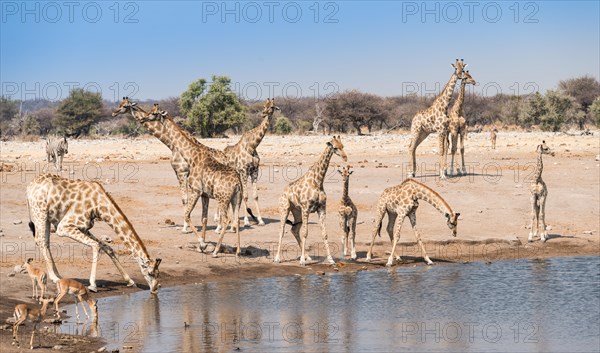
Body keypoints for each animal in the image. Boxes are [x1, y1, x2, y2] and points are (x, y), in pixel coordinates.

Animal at [26, 173, 162, 292]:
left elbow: (107, 247)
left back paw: (58, 275)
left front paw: (130, 281)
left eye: (158, 273)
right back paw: (54, 277)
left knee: (45, 242)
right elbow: (96, 245)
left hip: (47, 217)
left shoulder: (84, 227)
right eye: (150, 273)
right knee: (41, 241)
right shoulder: (64, 227)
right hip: (40, 213)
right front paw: (92, 285)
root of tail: (29, 187)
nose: (155, 289)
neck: (99, 205)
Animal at [140, 103, 241, 254]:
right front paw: (201, 246)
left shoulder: (195, 190)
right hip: (235, 199)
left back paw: (216, 251)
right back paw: (238, 251)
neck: (191, 156)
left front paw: (202, 243)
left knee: (226, 220)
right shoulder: (205, 195)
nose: (142, 119)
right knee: (236, 219)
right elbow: (204, 218)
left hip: (223, 199)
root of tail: (237, 183)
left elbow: (187, 215)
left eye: (153, 113)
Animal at [274, 135, 350, 264]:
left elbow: (324, 234)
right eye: (335, 147)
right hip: (285, 209)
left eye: (343, 146)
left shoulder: (321, 209)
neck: (318, 182)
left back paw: (307, 256)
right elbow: (305, 233)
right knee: (281, 230)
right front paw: (302, 261)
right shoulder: (306, 208)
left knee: (294, 230)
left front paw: (330, 259)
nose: (345, 157)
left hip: (297, 212)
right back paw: (278, 258)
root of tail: (282, 193)